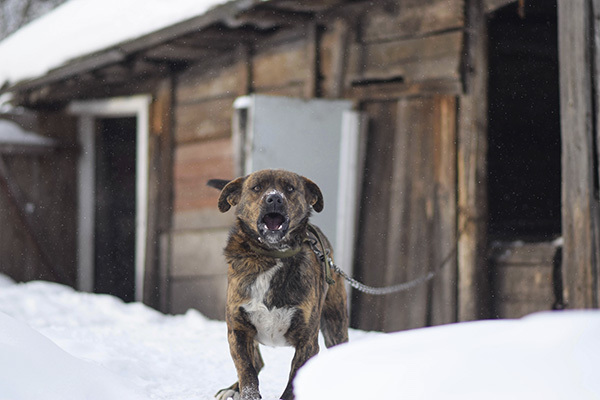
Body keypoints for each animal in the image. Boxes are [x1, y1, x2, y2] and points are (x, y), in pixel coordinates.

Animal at [210, 170, 350, 400]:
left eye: (290, 188)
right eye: (257, 187)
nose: (274, 198)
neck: (271, 256)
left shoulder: (307, 341)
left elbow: (293, 382)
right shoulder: (238, 330)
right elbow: (246, 369)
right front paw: (246, 392)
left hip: (335, 324)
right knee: (257, 362)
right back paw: (232, 389)